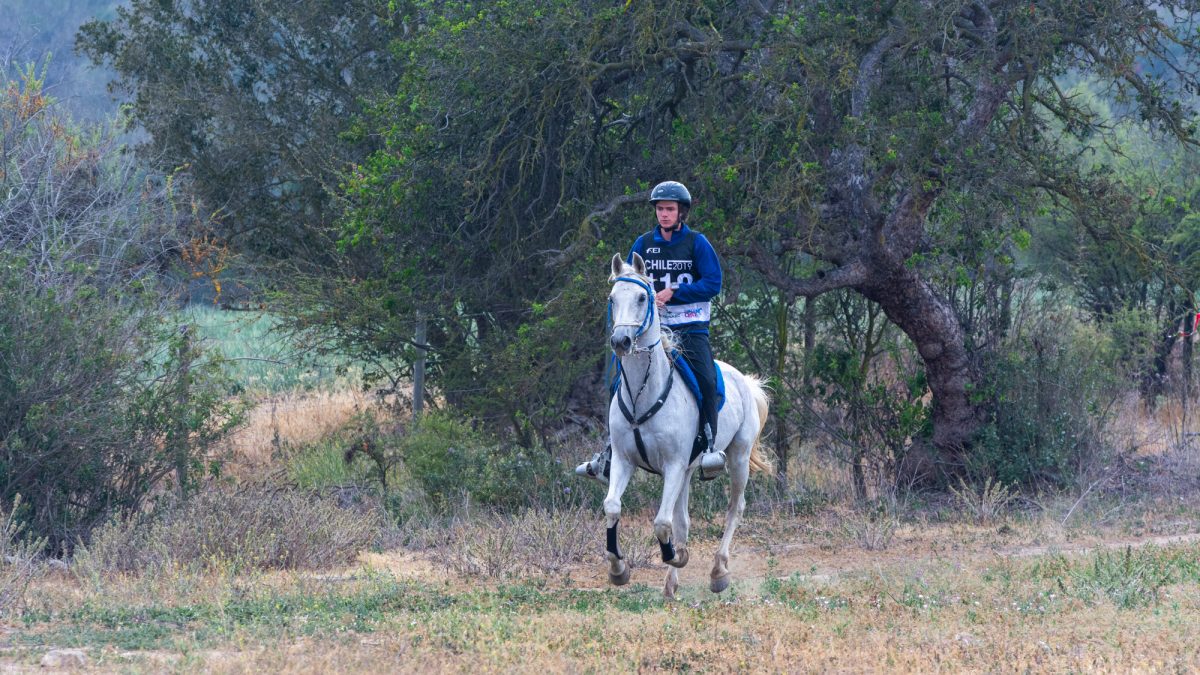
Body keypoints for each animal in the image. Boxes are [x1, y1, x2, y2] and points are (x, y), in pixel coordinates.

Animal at [604, 249, 772, 595]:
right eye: (613, 298)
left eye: (642, 297)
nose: (621, 341)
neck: (642, 394)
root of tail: (745, 381)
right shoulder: (625, 461)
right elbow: (613, 506)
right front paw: (618, 569)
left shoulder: (673, 465)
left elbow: (661, 522)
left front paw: (678, 556)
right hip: (690, 469)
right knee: (683, 519)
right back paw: (671, 584)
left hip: (737, 458)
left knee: (735, 508)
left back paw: (719, 571)